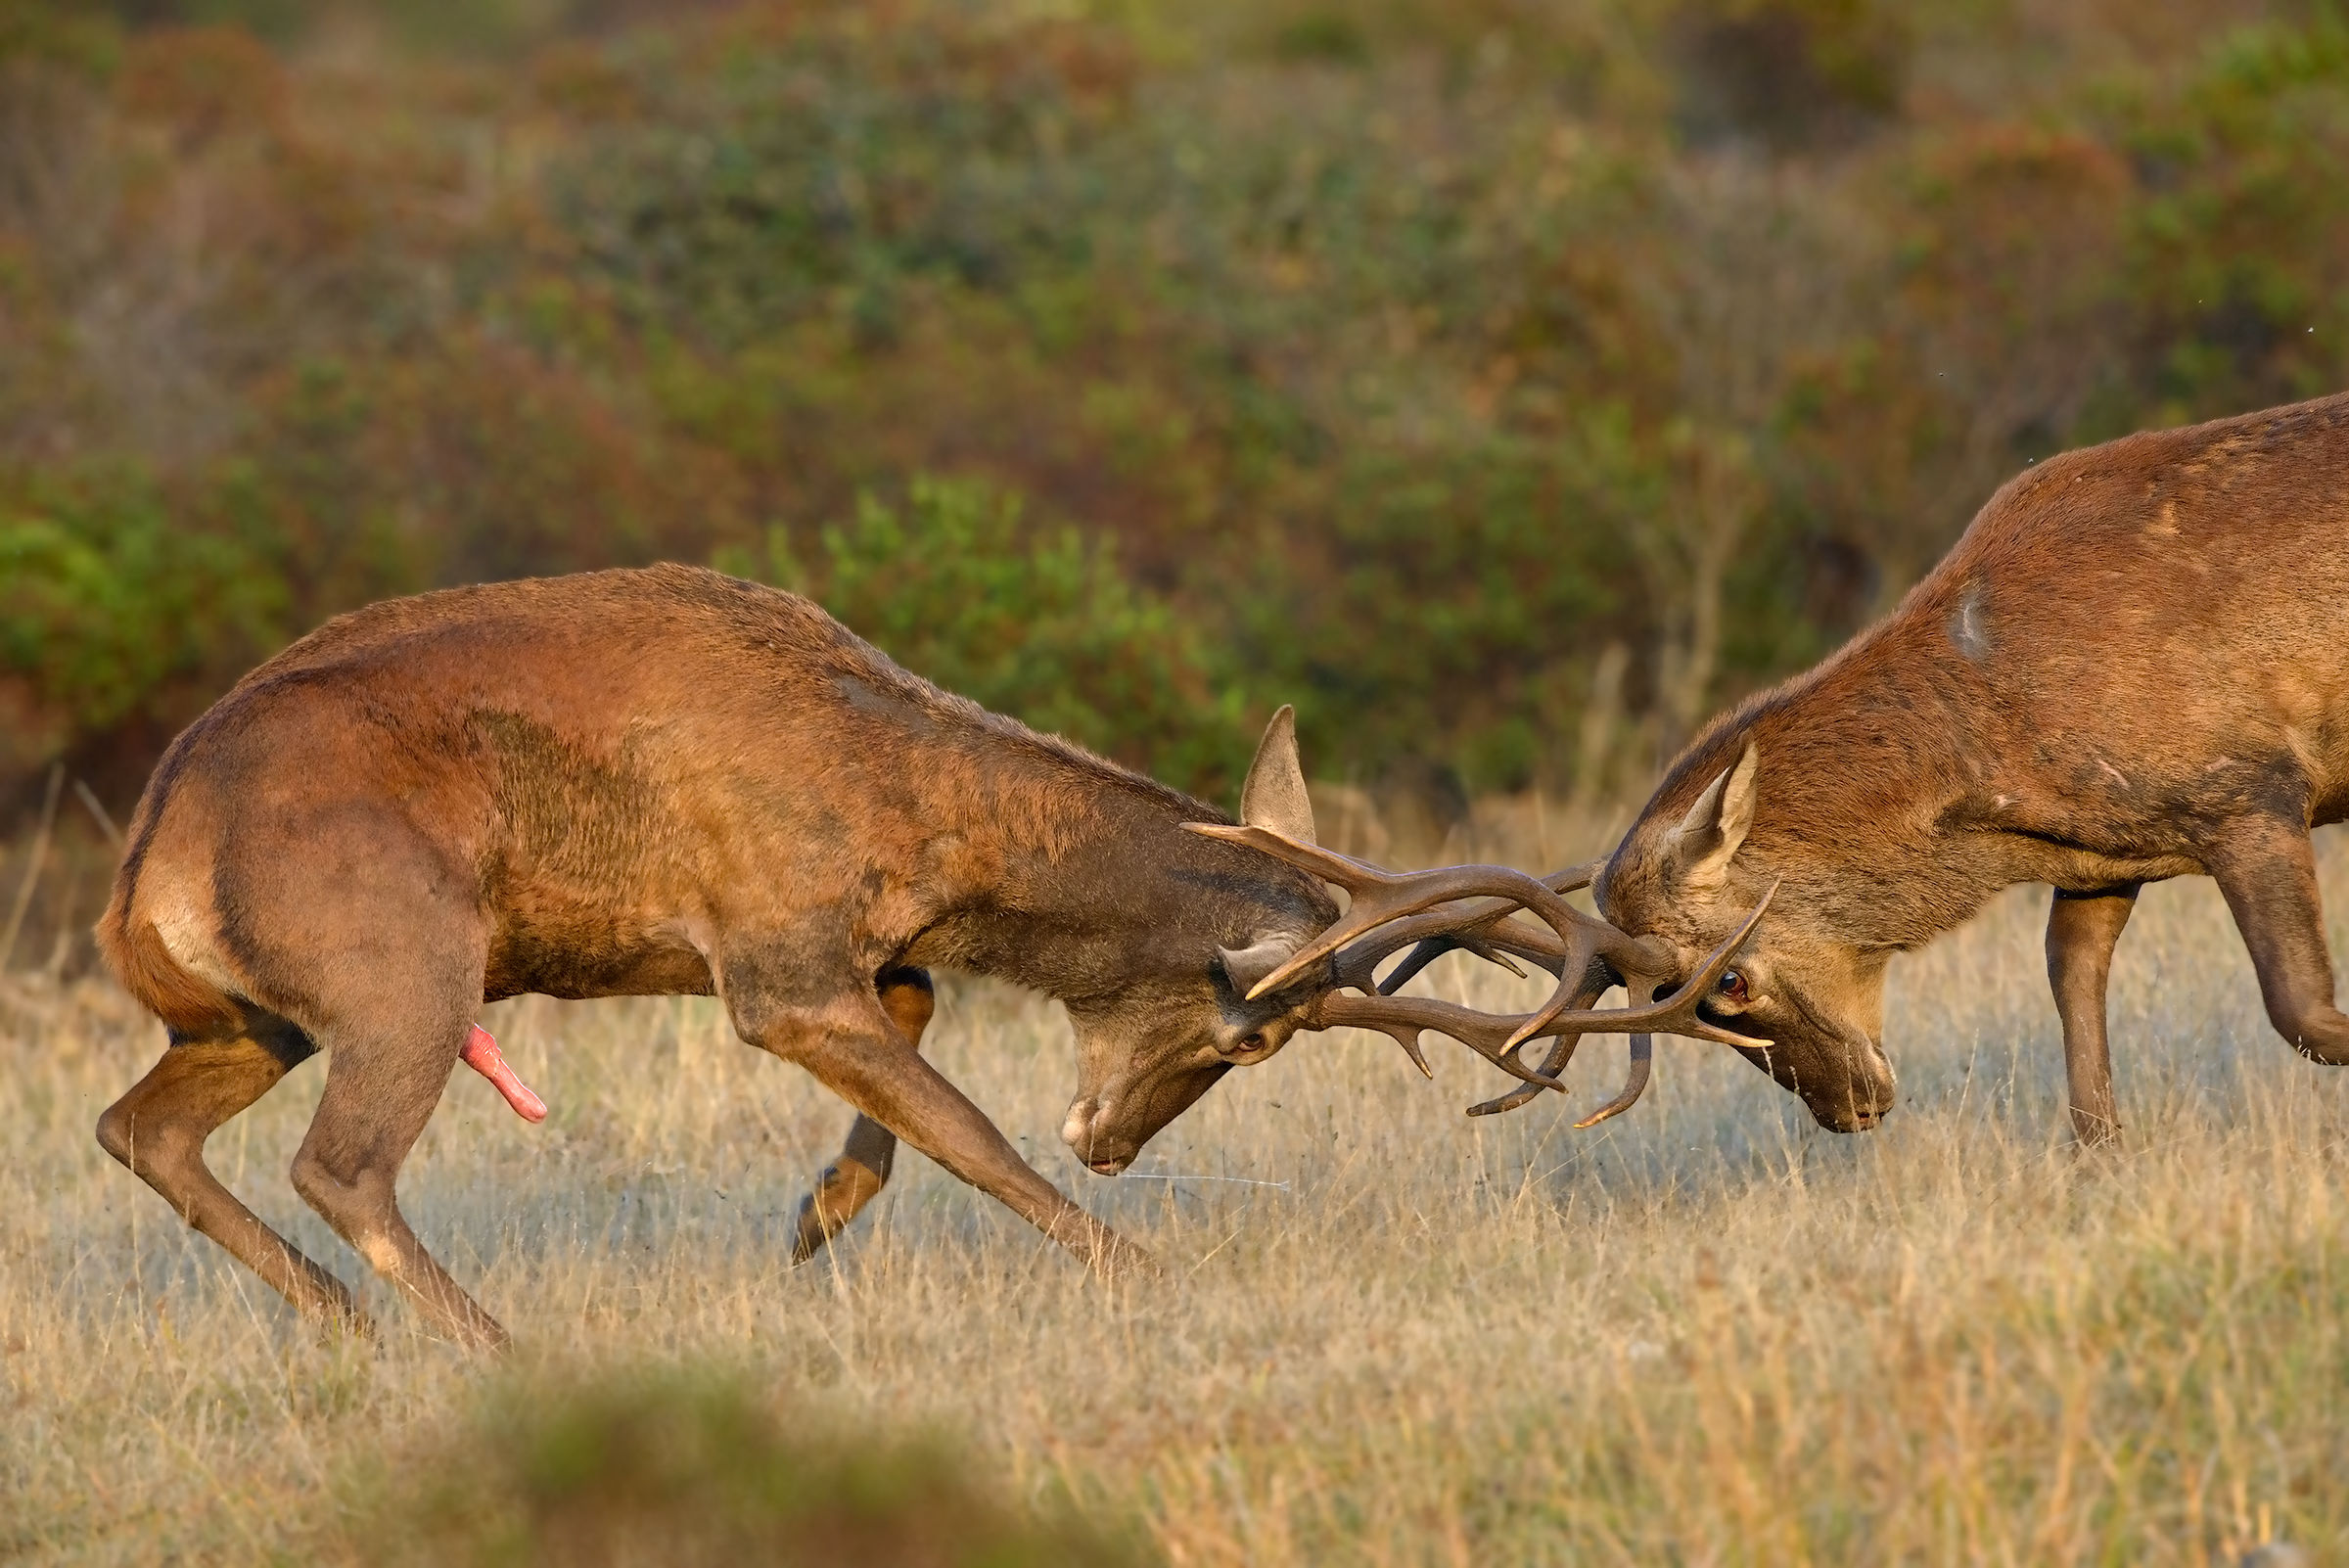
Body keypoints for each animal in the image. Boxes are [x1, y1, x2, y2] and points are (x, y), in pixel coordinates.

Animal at [92, 563, 1362, 1348]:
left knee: (138, 1127)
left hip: (255, 1018)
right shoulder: (775, 969)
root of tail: (144, 872)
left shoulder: (829, 952)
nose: (1109, 1148)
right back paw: (499, 1348)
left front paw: (818, 1215)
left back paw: (352, 1323)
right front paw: (1148, 1276)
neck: (920, 825)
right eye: (1250, 1038)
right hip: (404, 970)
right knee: (338, 1165)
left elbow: (917, 1018)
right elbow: (969, 1130)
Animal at [1206, 391, 2349, 1146]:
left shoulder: (2249, 785)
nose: (1850, 1108)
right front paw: (2102, 1157)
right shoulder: (2110, 853)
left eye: (1731, 981)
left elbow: (2304, 1013)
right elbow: (2075, 1001)